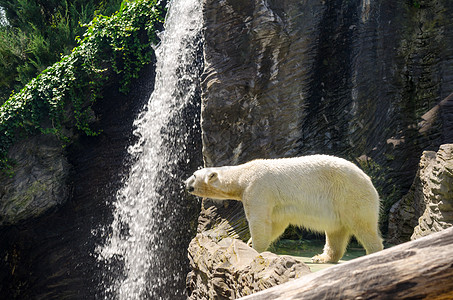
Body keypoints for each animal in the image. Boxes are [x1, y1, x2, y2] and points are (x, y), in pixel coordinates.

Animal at [185, 155, 384, 262]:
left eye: (194, 174)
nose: (185, 183)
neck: (242, 174)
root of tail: (368, 179)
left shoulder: (258, 188)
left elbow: (260, 221)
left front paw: (254, 248)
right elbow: (277, 224)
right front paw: (249, 243)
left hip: (350, 195)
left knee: (364, 227)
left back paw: (374, 253)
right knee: (336, 232)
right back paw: (322, 257)